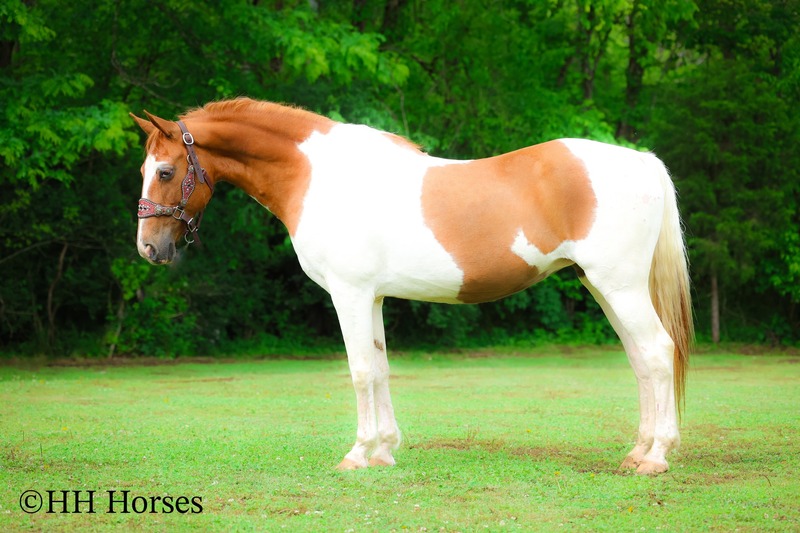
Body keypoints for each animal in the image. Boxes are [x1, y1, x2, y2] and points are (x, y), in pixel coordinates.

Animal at [131, 97, 692, 475]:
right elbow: (380, 368)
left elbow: (360, 371)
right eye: (145, 169)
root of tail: (641, 161)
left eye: (165, 171)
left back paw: (657, 457)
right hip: (603, 287)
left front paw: (357, 453)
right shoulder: (373, 296)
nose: (148, 249)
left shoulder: (350, 294)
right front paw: (383, 450)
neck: (321, 177)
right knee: (641, 361)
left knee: (658, 352)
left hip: (619, 287)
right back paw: (637, 451)